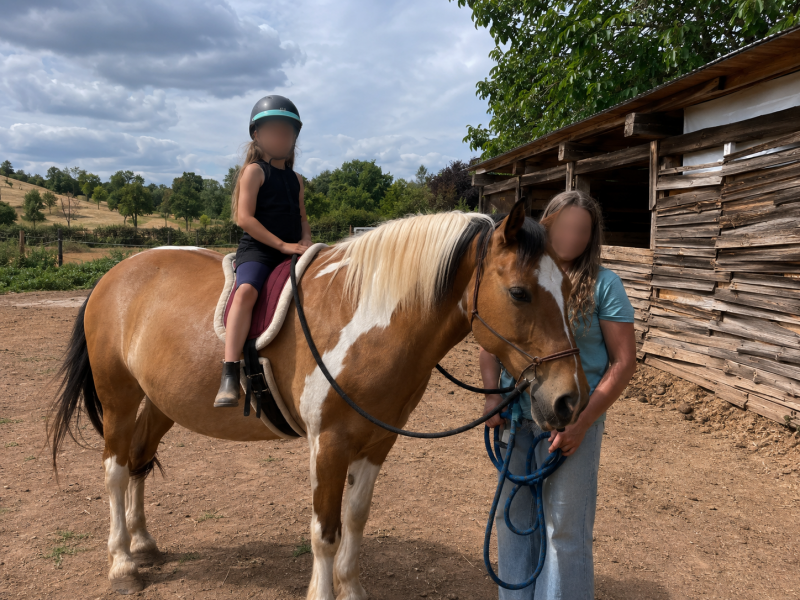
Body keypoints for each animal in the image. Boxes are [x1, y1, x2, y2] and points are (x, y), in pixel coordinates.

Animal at [49, 199, 590, 599]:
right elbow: (324, 530)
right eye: (519, 292)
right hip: (119, 397)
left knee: (139, 461)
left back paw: (143, 544)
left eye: (567, 288)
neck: (366, 319)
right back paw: (123, 563)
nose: (568, 400)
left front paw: (352, 590)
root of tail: (114, 275)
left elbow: (354, 520)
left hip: (161, 404)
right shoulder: (327, 444)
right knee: (116, 469)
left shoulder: (376, 444)